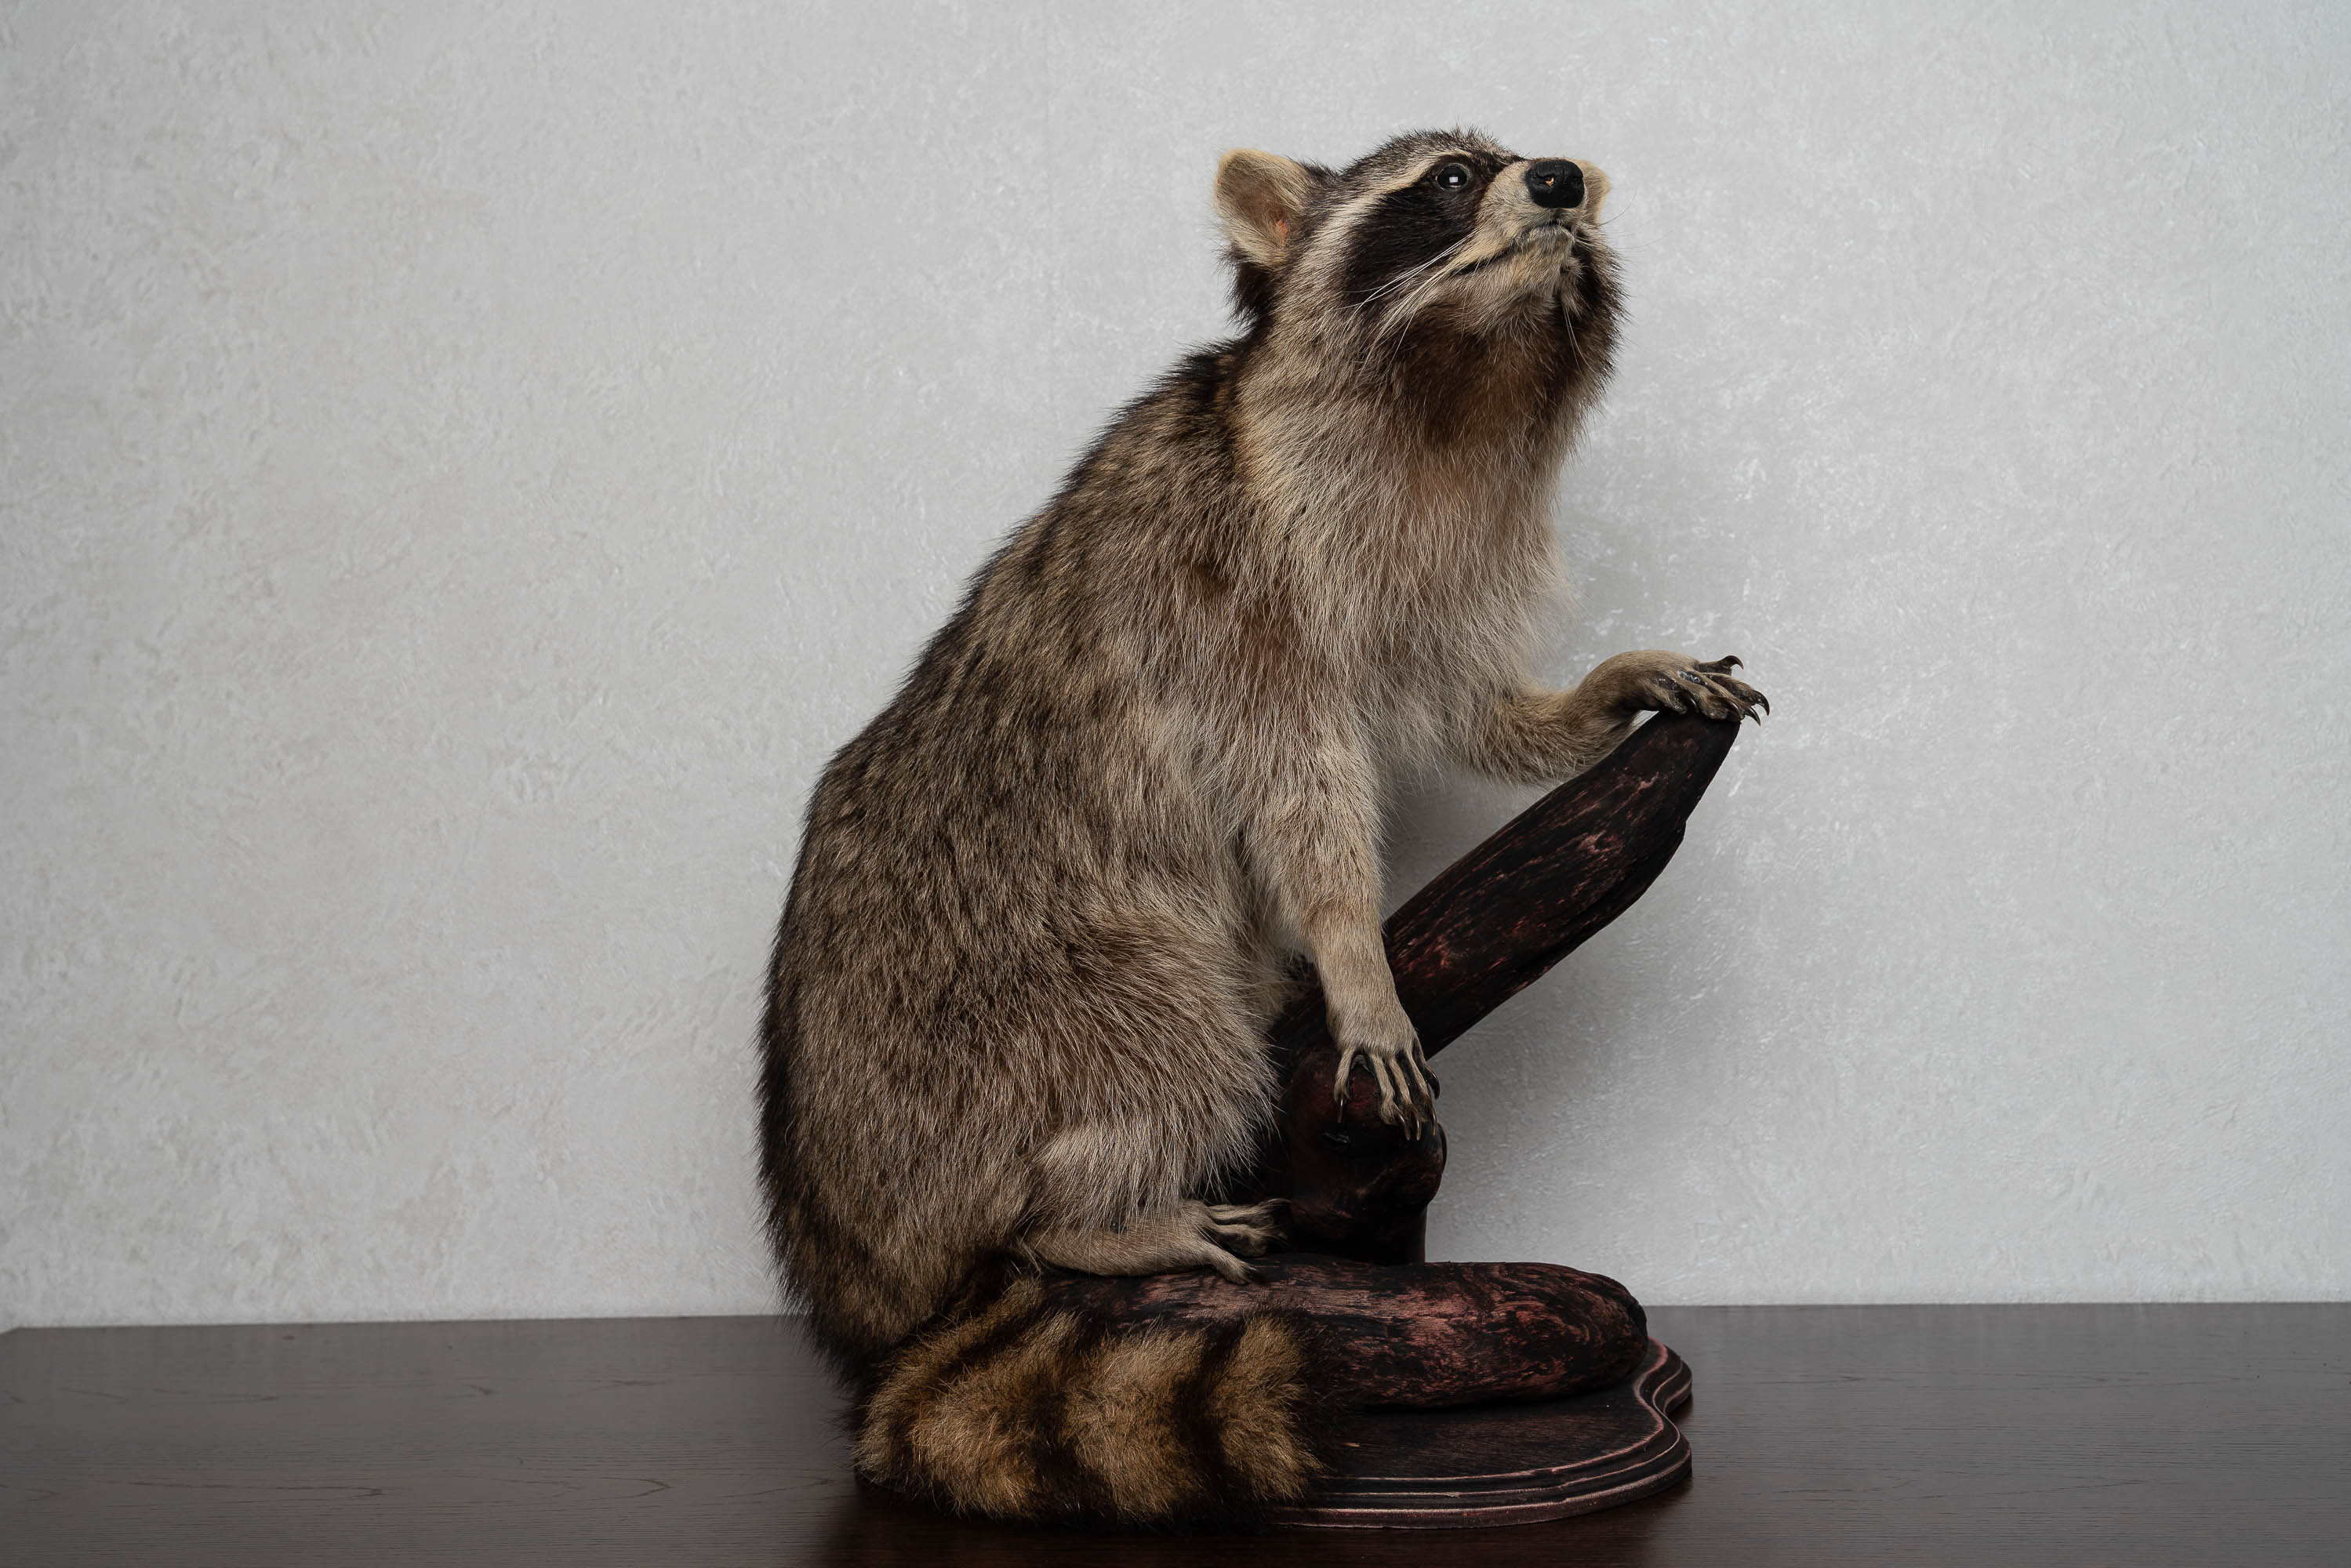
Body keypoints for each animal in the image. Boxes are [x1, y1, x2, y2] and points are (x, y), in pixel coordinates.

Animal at [758, 128, 1764, 1526]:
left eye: (1534, 165)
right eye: (1452, 179)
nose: (1559, 180)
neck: (1458, 381)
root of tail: (858, 1269)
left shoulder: (1443, 559)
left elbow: (1471, 711)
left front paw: (1594, 694)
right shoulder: (1232, 582)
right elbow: (1300, 796)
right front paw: (1352, 953)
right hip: (990, 1018)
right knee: (1171, 1041)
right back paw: (1085, 1215)